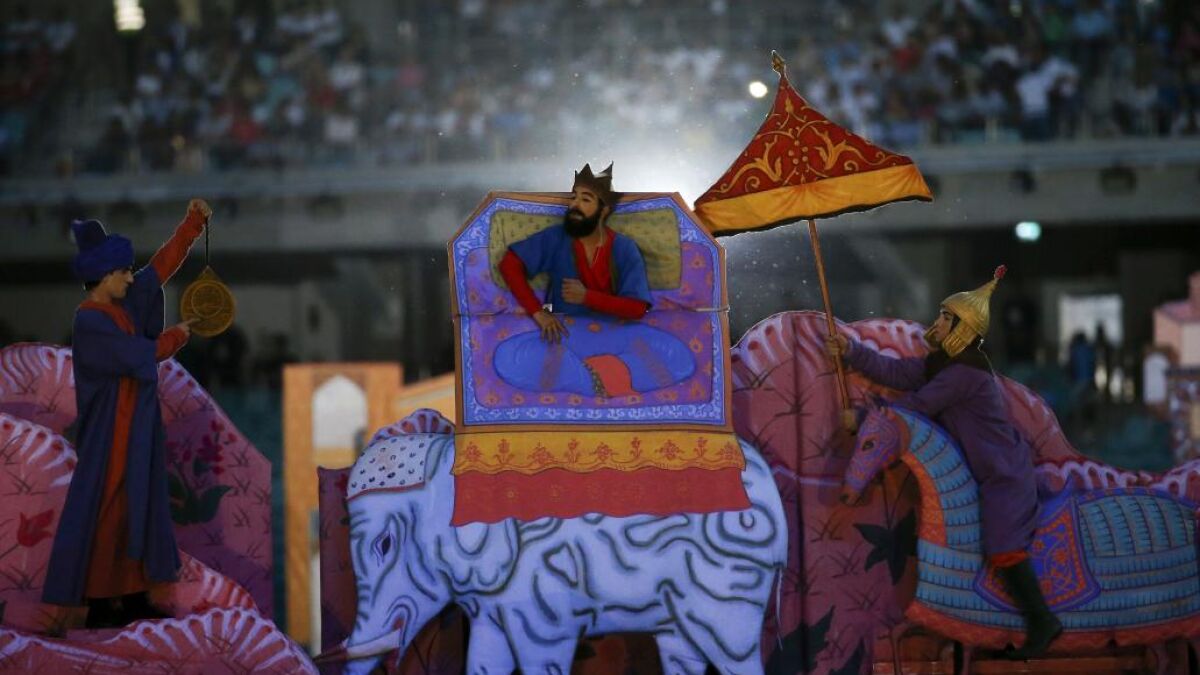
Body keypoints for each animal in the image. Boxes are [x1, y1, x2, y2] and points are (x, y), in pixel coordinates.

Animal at [331, 421, 787, 675]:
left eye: (384, 544)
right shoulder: (496, 602)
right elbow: (484, 660)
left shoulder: (543, 600)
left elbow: (541, 658)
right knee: (683, 655)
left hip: (730, 582)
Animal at [841, 403, 1200, 674]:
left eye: (869, 443)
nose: (847, 494)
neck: (958, 527)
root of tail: (1190, 512)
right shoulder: (948, 626)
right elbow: (906, 639)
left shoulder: (949, 621)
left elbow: (899, 636)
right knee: (1164, 660)